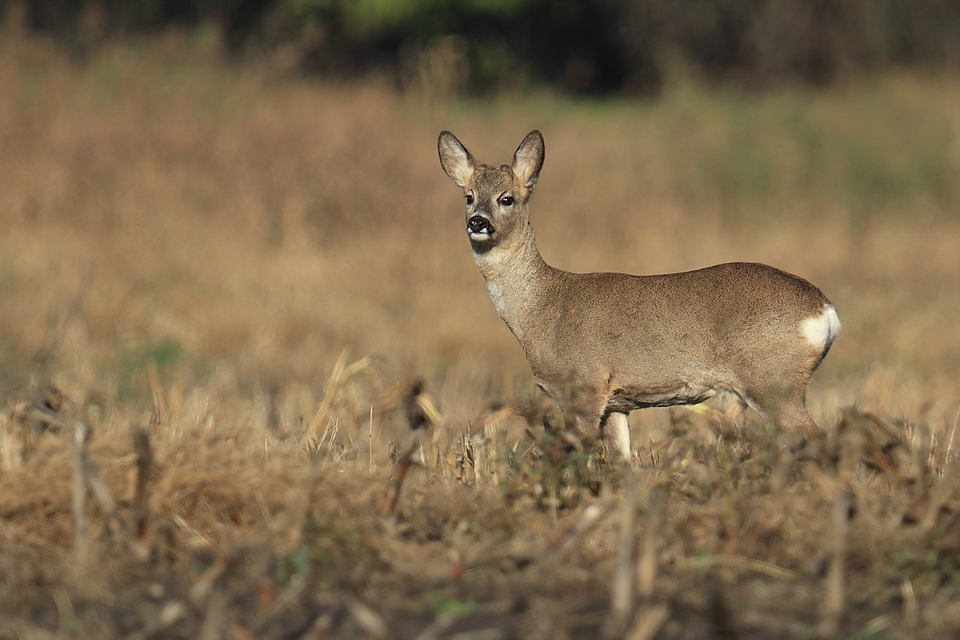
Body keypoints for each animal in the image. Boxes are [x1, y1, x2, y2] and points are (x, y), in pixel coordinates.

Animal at [436, 130, 840, 460]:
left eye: (507, 198)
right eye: (468, 196)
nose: (478, 222)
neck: (541, 309)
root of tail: (825, 310)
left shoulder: (585, 386)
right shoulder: (617, 403)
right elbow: (622, 463)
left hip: (772, 380)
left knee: (817, 439)